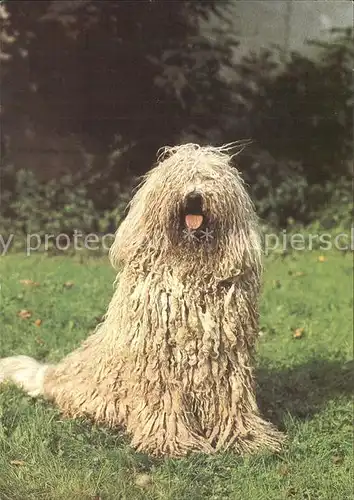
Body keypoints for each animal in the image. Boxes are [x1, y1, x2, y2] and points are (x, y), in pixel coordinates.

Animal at [0, 143, 284, 456]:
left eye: (209, 178)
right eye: (179, 177)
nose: (194, 196)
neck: (190, 270)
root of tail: (54, 376)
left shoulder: (227, 359)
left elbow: (230, 400)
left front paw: (245, 437)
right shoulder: (159, 358)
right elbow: (164, 401)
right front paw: (170, 441)